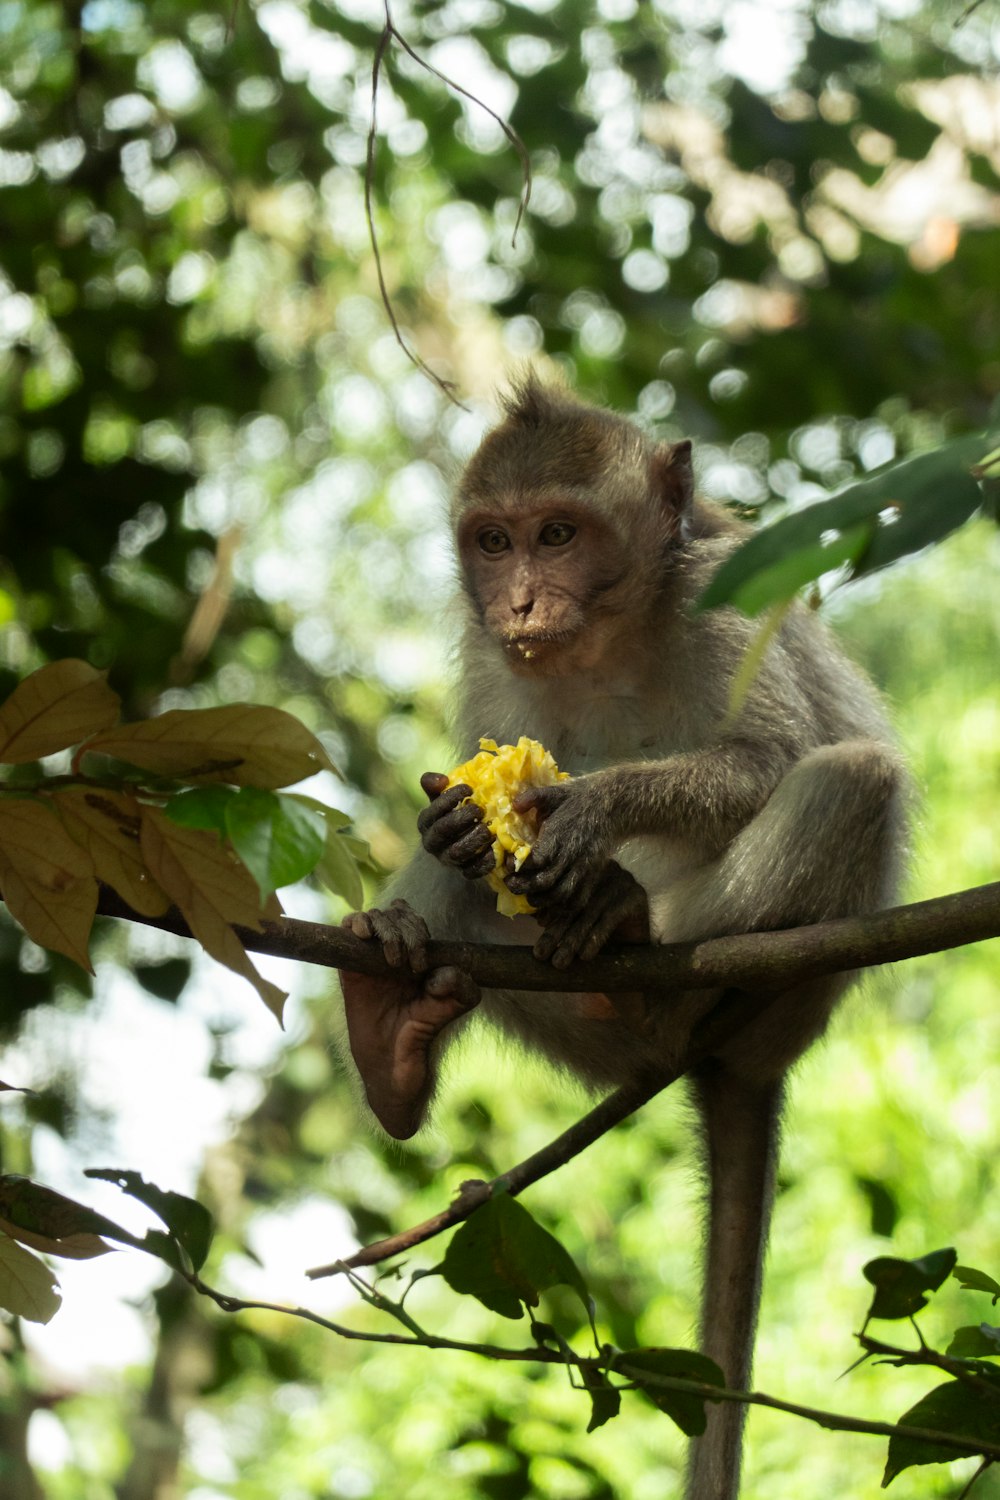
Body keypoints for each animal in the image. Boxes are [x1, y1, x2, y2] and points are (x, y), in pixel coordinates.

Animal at [338, 378, 905, 1500]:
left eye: (557, 535)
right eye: (495, 542)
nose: (518, 603)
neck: (609, 636)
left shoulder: (726, 601)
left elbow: (769, 755)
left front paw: (593, 809)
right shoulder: (493, 667)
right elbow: (464, 812)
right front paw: (455, 827)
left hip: (780, 992)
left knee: (851, 778)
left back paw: (635, 950)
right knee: (475, 916)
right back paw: (391, 1030)